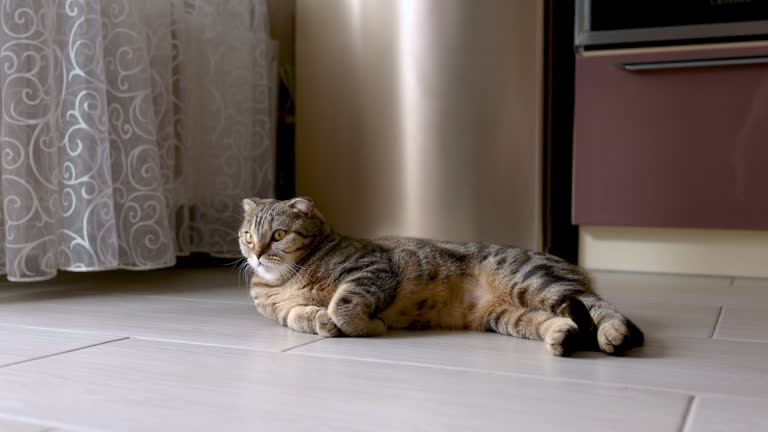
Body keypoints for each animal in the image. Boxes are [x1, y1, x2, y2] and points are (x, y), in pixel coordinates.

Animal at [238, 197, 640, 356]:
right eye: (248, 236)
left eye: (278, 235)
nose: (256, 254)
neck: (285, 281)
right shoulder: (284, 312)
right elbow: (301, 316)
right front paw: (322, 322)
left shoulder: (372, 268)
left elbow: (343, 305)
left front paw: (367, 326)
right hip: (508, 315)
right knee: (553, 320)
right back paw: (562, 336)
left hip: (534, 280)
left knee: (600, 306)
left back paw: (614, 334)